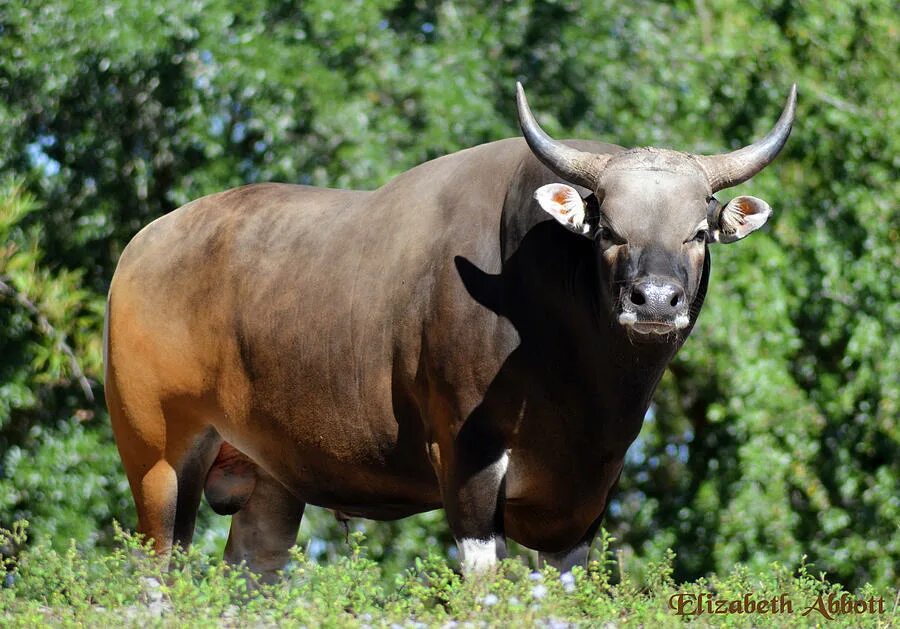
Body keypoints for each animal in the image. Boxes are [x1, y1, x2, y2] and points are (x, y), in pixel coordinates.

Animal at [105, 82, 796, 580]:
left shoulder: (582, 503)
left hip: (268, 484)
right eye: (607, 229)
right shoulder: (468, 462)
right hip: (159, 463)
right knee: (154, 576)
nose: (654, 300)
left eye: (699, 232)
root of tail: (138, 251)